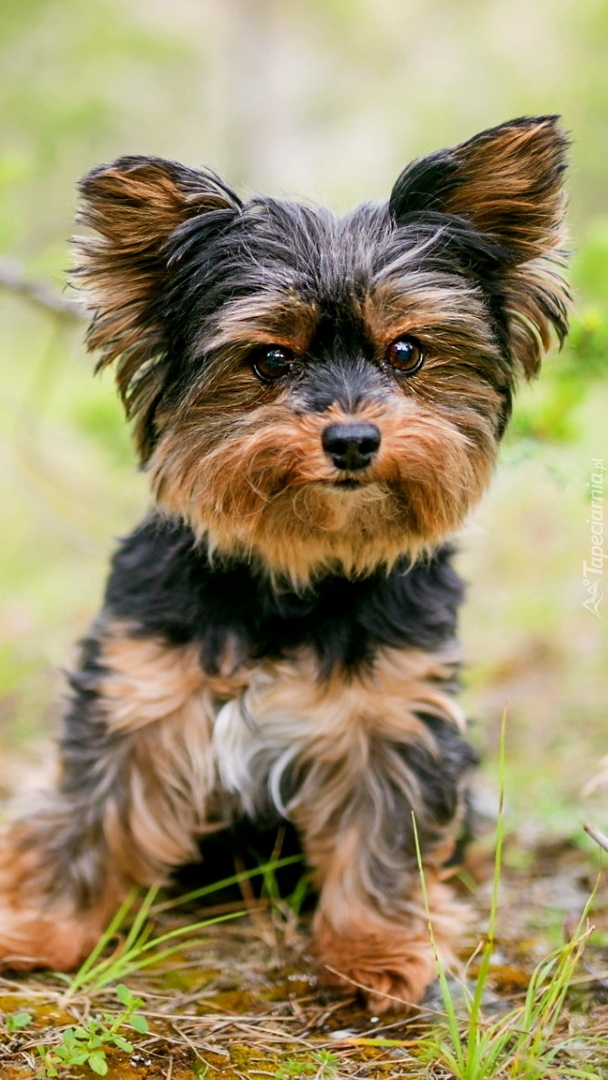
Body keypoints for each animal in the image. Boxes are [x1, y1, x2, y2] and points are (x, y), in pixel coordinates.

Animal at [0, 116, 570, 1010]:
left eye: (406, 352)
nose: (353, 439)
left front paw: (382, 950)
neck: (296, 570)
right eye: (270, 359)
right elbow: (95, 811)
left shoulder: (396, 714)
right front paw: (43, 926)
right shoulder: (139, 692)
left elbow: (385, 836)